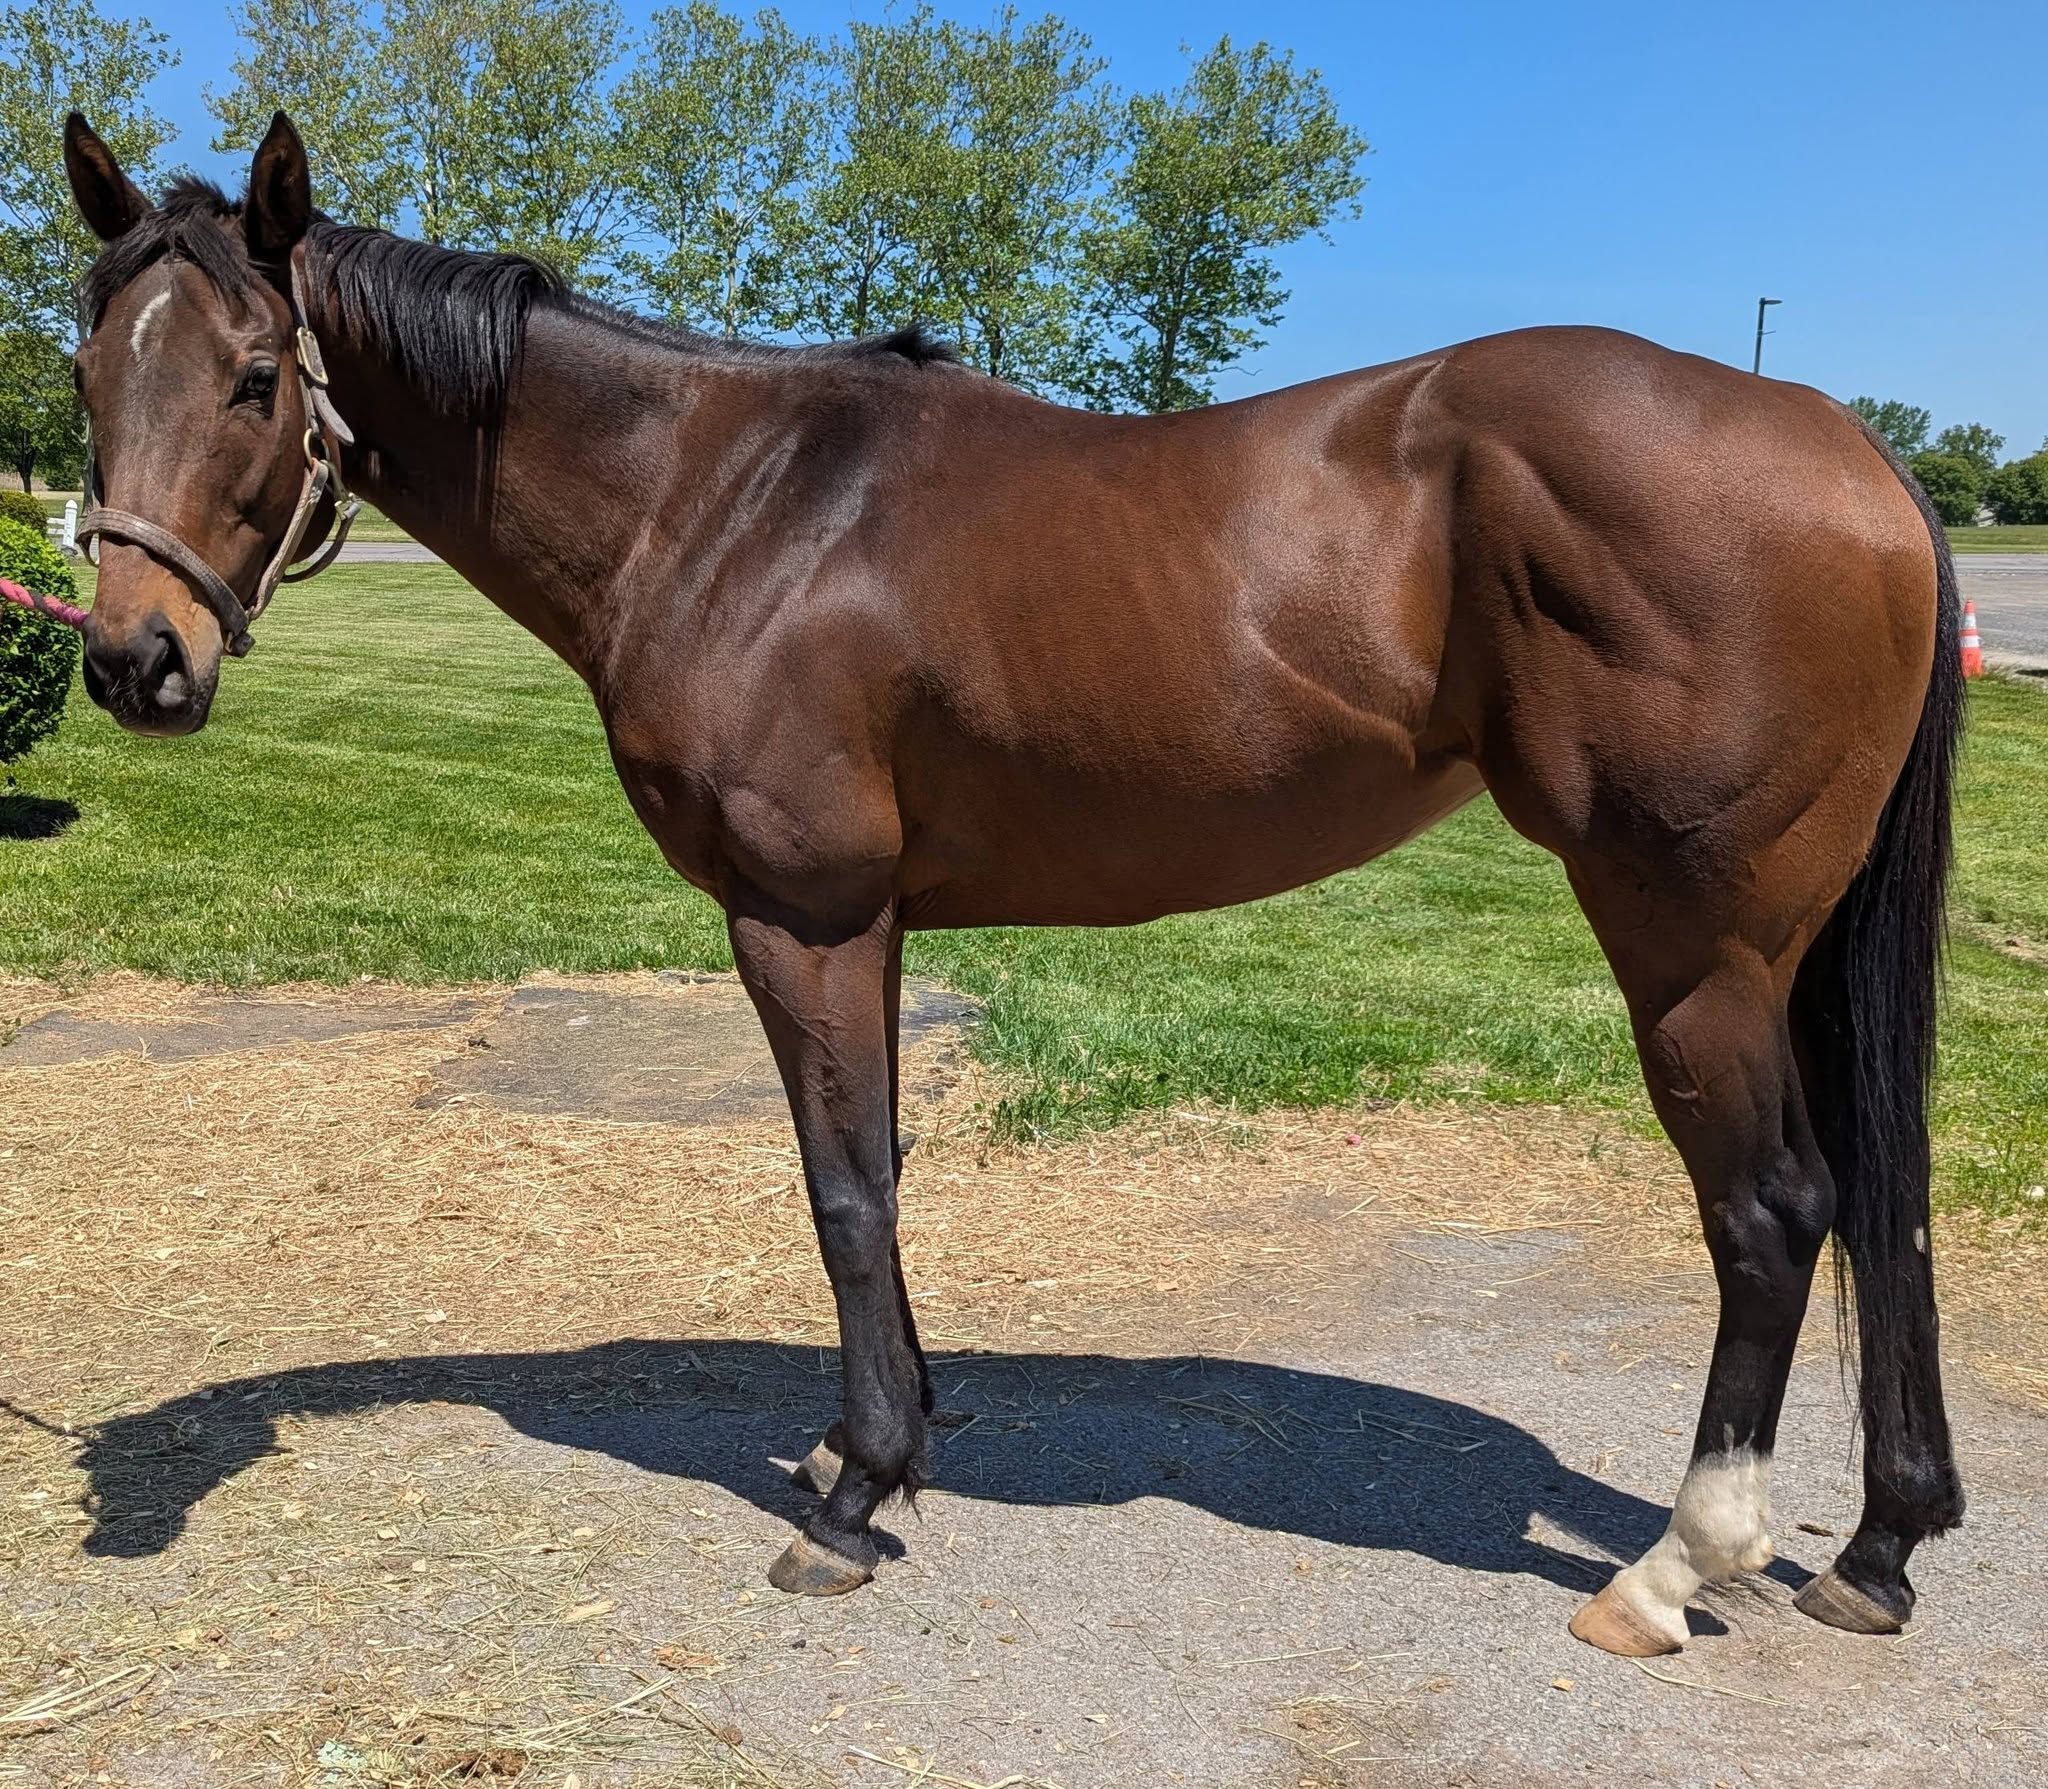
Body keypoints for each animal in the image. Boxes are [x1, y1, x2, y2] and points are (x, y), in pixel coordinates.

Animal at [59, 111, 1964, 1657]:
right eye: (83, 377)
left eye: (253, 376)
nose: (134, 663)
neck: (724, 502)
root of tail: (1849, 445)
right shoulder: (880, 926)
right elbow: (886, 1169)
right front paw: (872, 1445)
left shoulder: (803, 915)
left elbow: (841, 1190)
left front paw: (852, 1499)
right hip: (1788, 947)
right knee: (1882, 1198)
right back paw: (1877, 1548)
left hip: (1691, 941)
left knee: (1772, 1210)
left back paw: (1675, 1565)